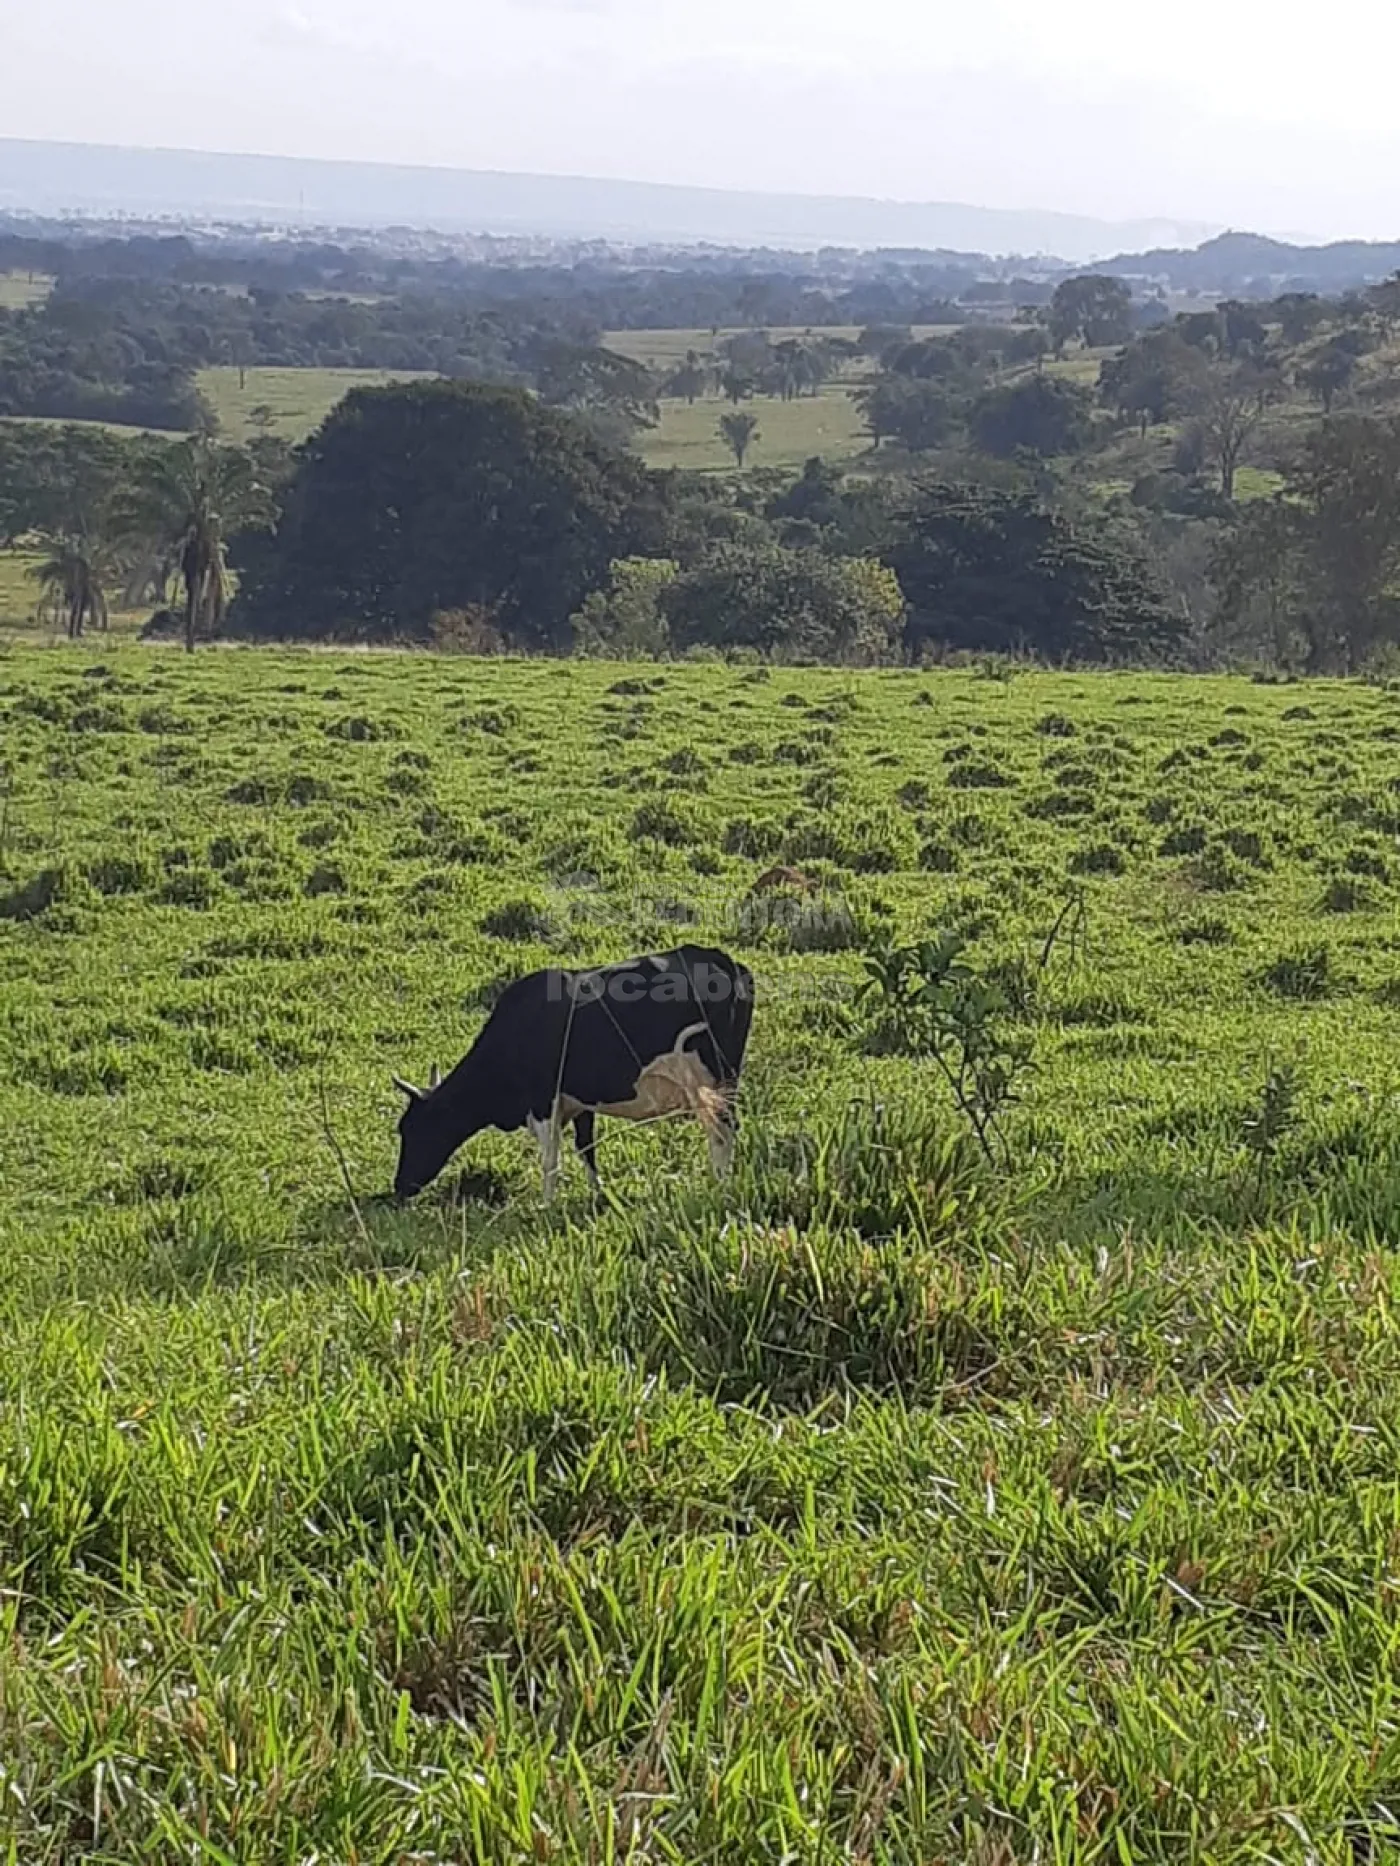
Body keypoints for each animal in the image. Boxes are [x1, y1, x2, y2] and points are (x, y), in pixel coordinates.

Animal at [390, 940, 761, 1201]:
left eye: (413, 1129)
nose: (399, 1186)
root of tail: (725, 960)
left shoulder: (544, 1102)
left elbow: (550, 1159)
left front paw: (547, 1204)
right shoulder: (580, 1103)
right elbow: (586, 1149)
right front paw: (598, 1195)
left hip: (711, 1081)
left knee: (722, 1131)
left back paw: (719, 1185)